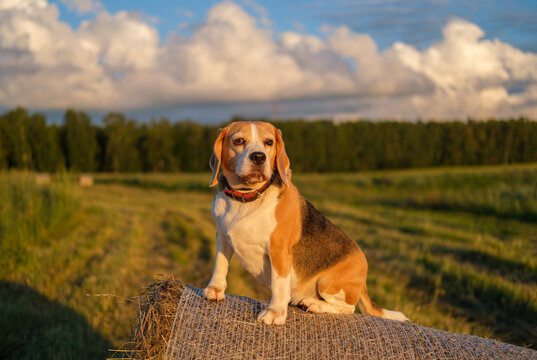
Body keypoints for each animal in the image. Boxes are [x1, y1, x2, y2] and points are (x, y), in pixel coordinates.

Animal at [203, 121, 408, 326]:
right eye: (238, 141)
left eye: (269, 142)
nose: (259, 157)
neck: (246, 198)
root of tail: (364, 278)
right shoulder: (222, 236)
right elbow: (220, 264)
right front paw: (215, 289)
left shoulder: (279, 250)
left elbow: (279, 283)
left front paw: (275, 312)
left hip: (327, 283)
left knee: (349, 309)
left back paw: (314, 304)